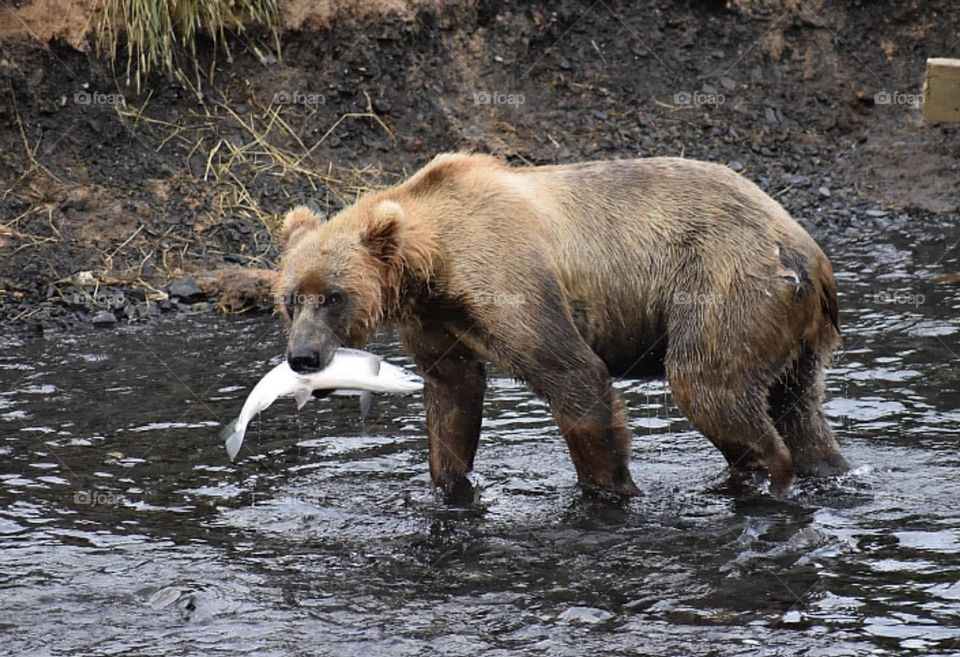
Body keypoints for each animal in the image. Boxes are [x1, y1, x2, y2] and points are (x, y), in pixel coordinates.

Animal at [276, 155, 848, 498]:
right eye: (290, 299)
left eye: (333, 297)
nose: (302, 356)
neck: (433, 263)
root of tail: (808, 254)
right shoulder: (437, 321)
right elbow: (452, 400)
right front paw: (448, 488)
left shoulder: (509, 283)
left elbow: (574, 377)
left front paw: (610, 490)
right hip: (794, 336)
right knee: (798, 409)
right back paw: (823, 468)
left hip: (723, 286)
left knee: (707, 385)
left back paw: (766, 479)